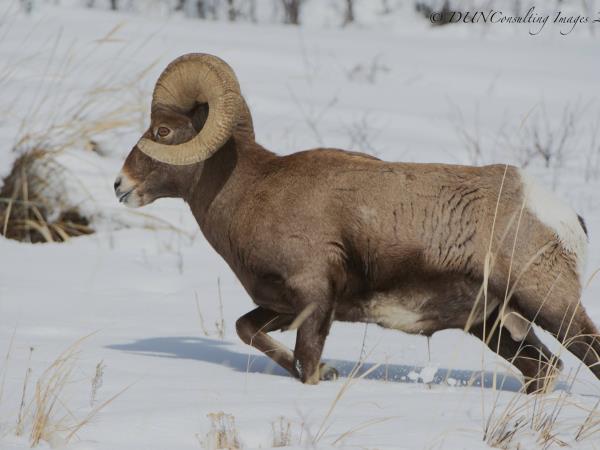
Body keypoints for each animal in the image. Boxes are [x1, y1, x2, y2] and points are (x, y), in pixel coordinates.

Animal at [115, 51, 596, 390]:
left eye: (162, 132)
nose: (120, 185)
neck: (252, 191)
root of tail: (564, 218)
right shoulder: (282, 305)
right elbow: (247, 330)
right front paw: (329, 372)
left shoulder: (313, 299)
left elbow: (305, 363)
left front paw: (322, 374)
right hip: (496, 326)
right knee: (543, 371)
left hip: (550, 307)